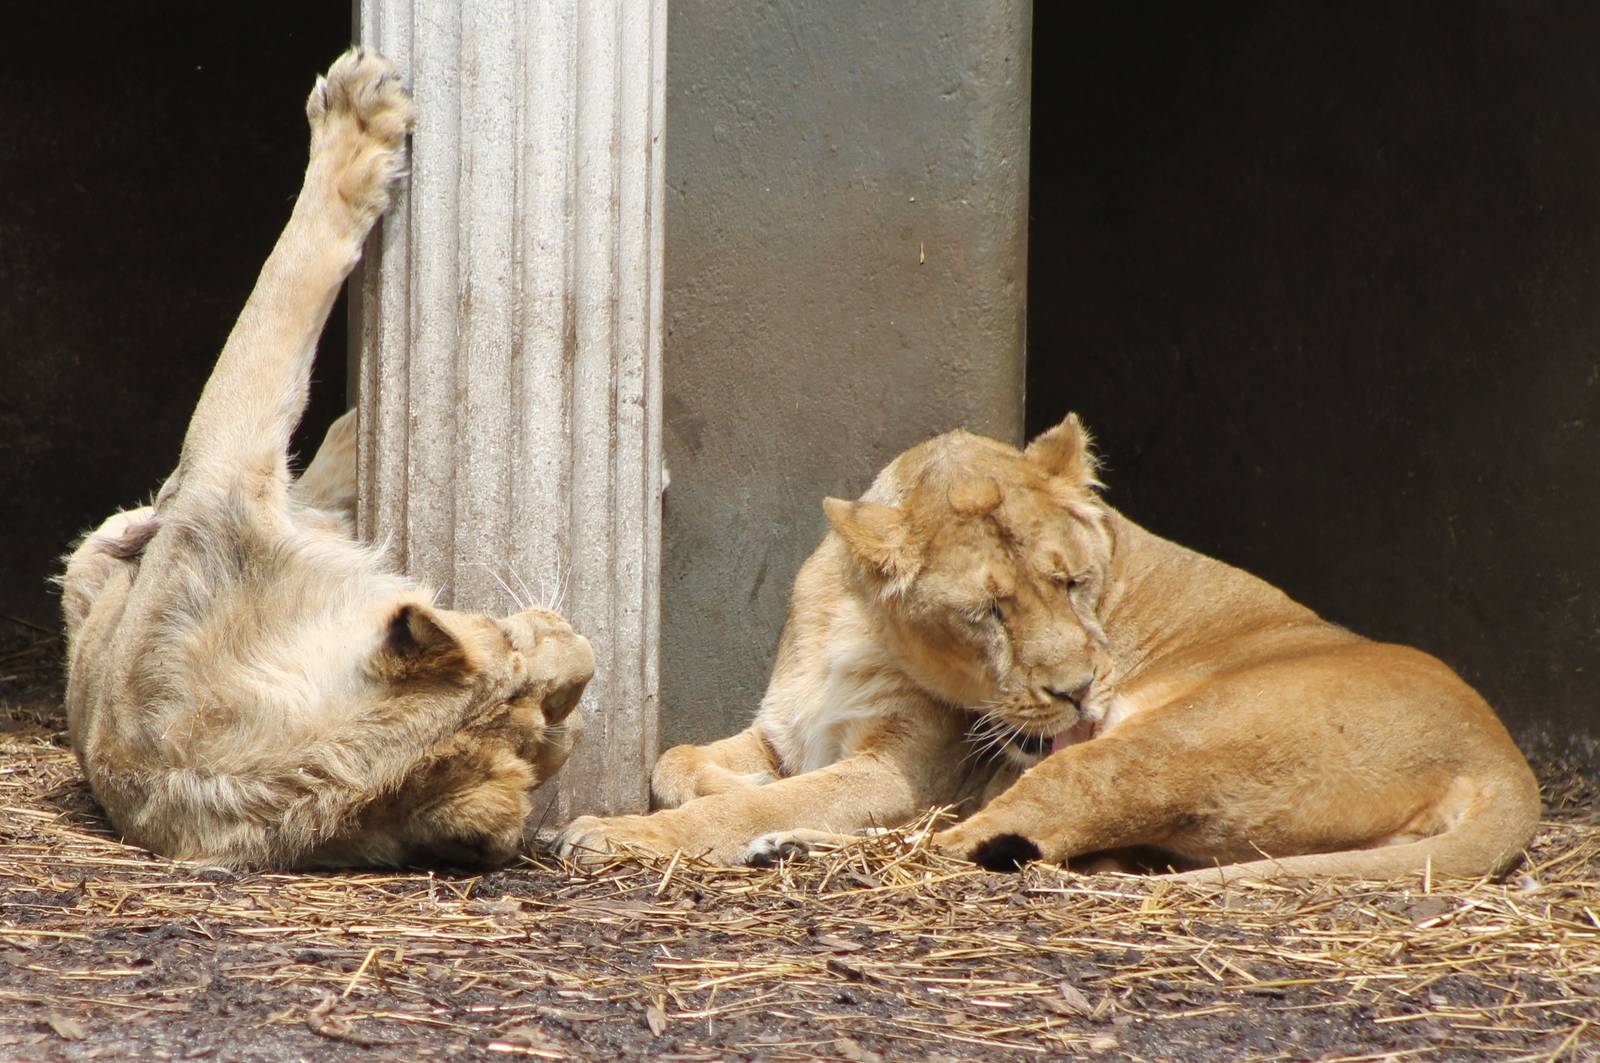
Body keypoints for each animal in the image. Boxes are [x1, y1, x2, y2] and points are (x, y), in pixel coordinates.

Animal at [58, 51, 593, 869]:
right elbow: (287, 291)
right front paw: (358, 117)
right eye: (508, 640)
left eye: (553, 719)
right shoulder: (220, 472)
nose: (587, 653)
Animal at [557, 415, 1539, 882]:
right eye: (989, 611)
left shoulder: (904, 771)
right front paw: (715, 786)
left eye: (1073, 583)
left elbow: (749, 800)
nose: (1078, 691)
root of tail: (1503, 755)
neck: (853, 621)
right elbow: (677, 760)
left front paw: (615, 831)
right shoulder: (783, 730)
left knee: (958, 842)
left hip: (1161, 746)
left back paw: (789, 847)